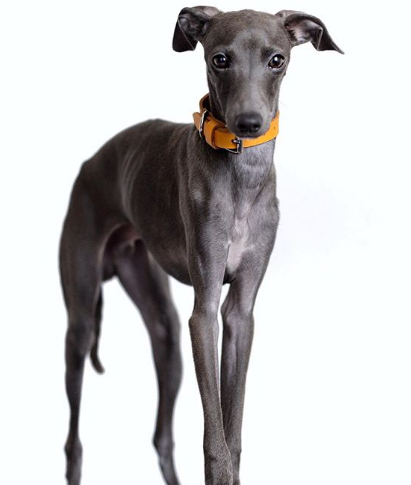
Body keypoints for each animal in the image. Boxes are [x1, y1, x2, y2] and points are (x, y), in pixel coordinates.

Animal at [59, 4, 342, 484]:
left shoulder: (240, 314)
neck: (242, 178)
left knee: (162, 436)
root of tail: (89, 164)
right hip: (80, 317)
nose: (249, 123)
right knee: (73, 443)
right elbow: (215, 435)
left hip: (164, 328)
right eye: (220, 59)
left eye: (277, 59)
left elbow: (233, 425)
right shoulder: (204, 314)